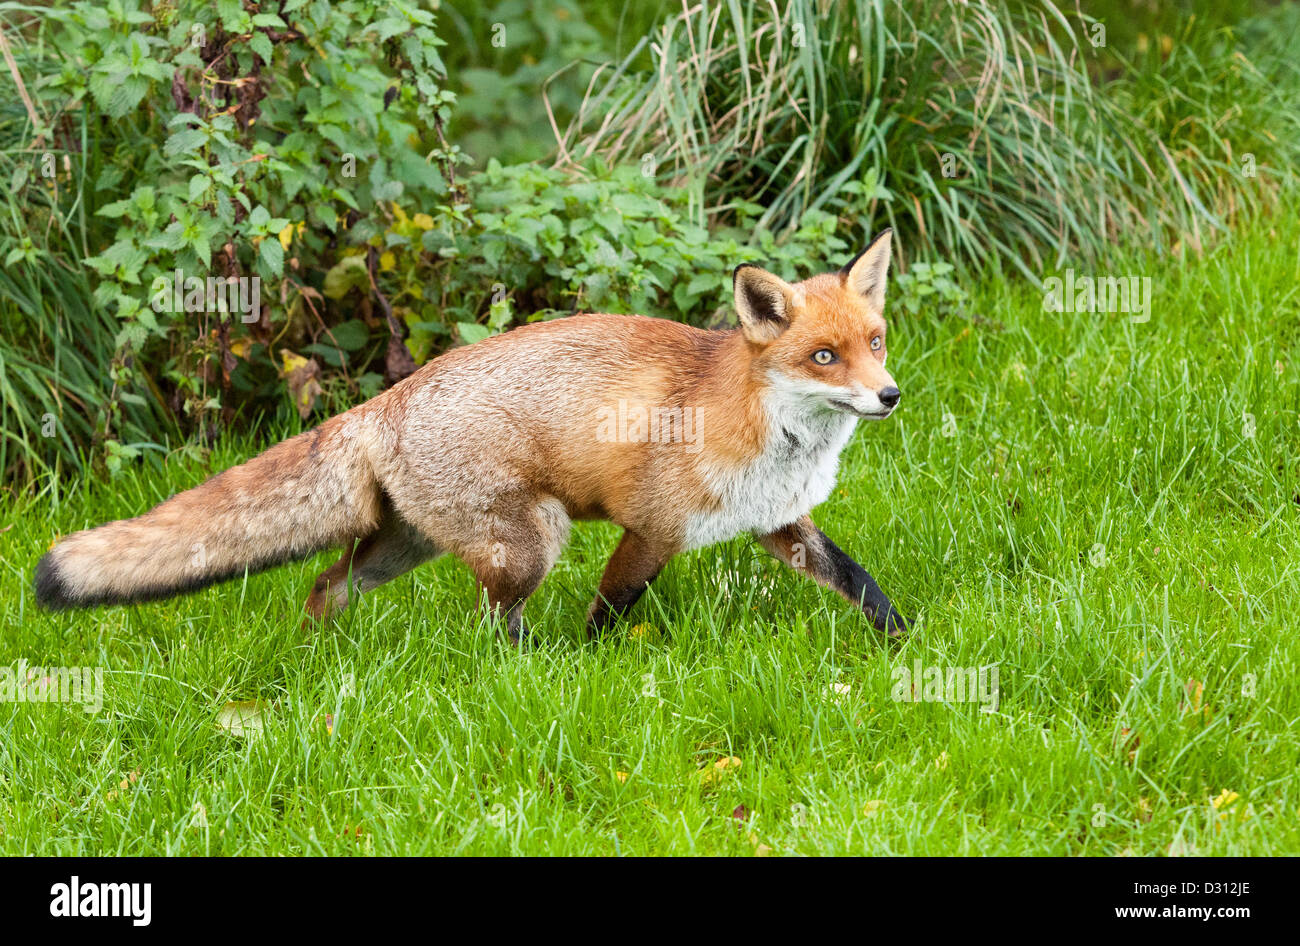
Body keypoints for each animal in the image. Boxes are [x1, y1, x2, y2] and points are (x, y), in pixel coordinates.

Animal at [43, 228, 915, 639]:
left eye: (874, 341)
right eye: (824, 356)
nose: (890, 396)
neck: (774, 440)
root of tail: (383, 401)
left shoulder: (778, 522)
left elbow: (860, 583)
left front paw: (904, 644)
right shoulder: (652, 528)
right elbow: (608, 612)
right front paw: (595, 666)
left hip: (410, 543)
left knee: (325, 585)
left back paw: (319, 653)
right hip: (533, 537)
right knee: (492, 629)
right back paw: (541, 672)